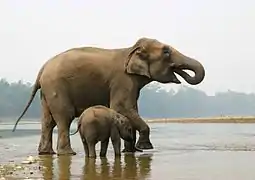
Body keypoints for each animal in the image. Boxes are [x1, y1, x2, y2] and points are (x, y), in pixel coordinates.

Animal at [12, 37, 205, 155]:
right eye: (166, 52)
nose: (181, 74)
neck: (131, 50)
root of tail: (42, 68)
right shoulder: (123, 80)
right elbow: (121, 107)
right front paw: (145, 147)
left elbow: (131, 109)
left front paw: (132, 151)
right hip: (56, 86)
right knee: (64, 117)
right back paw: (68, 153)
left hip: (47, 91)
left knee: (47, 121)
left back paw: (46, 153)